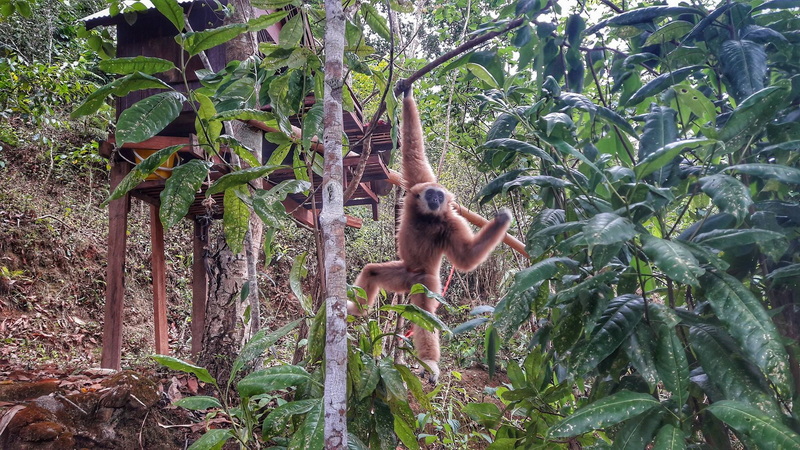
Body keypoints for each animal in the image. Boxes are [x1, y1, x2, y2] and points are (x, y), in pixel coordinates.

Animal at [347, 81, 512, 383]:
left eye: (440, 197)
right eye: (431, 194)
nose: (436, 199)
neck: (428, 217)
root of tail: (412, 277)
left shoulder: (451, 222)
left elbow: (466, 258)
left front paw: (502, 221)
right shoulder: (418, 185)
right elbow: (413, 154)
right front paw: (407, 92)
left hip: (427, 283)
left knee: (422, 312)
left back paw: (429, 362)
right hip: (402, 274)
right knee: (372, 272)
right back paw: (355, 310)